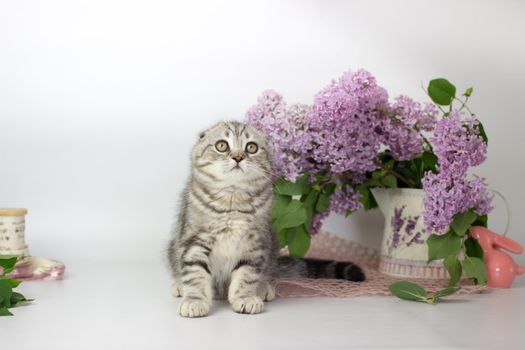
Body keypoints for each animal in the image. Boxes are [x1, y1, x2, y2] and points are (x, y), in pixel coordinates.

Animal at [168, 120, 364, 318]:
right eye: (222, 146)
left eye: (251, 147)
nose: (238, 157)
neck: (233, 199)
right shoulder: (195, 241)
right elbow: (195, 273)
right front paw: (194, 300)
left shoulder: (254, 244)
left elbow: (246, 274)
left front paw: (245, 298)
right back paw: (180, 286)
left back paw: (262, 287)